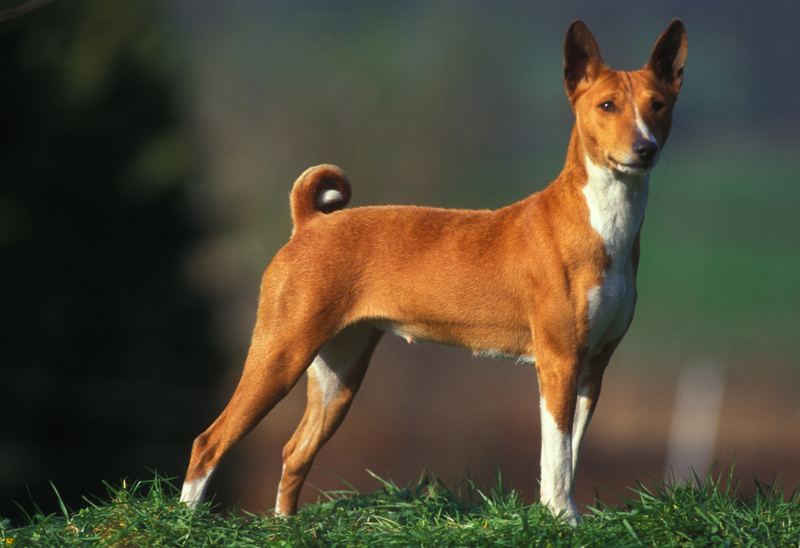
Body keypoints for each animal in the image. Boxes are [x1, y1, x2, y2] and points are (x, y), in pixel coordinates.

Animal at [181, 20, 688, 528]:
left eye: (658, 105)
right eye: (607, 106)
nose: (644, 149)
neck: (601, 224)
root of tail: (309, 223)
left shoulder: (592, 367)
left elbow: (572, 454)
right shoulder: (558, 360)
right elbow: (557, 458)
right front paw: (561, 519)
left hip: (338, 375)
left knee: (294, 452)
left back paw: (284, 528)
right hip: (280, 353)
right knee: (209, 441)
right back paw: (187, 521)